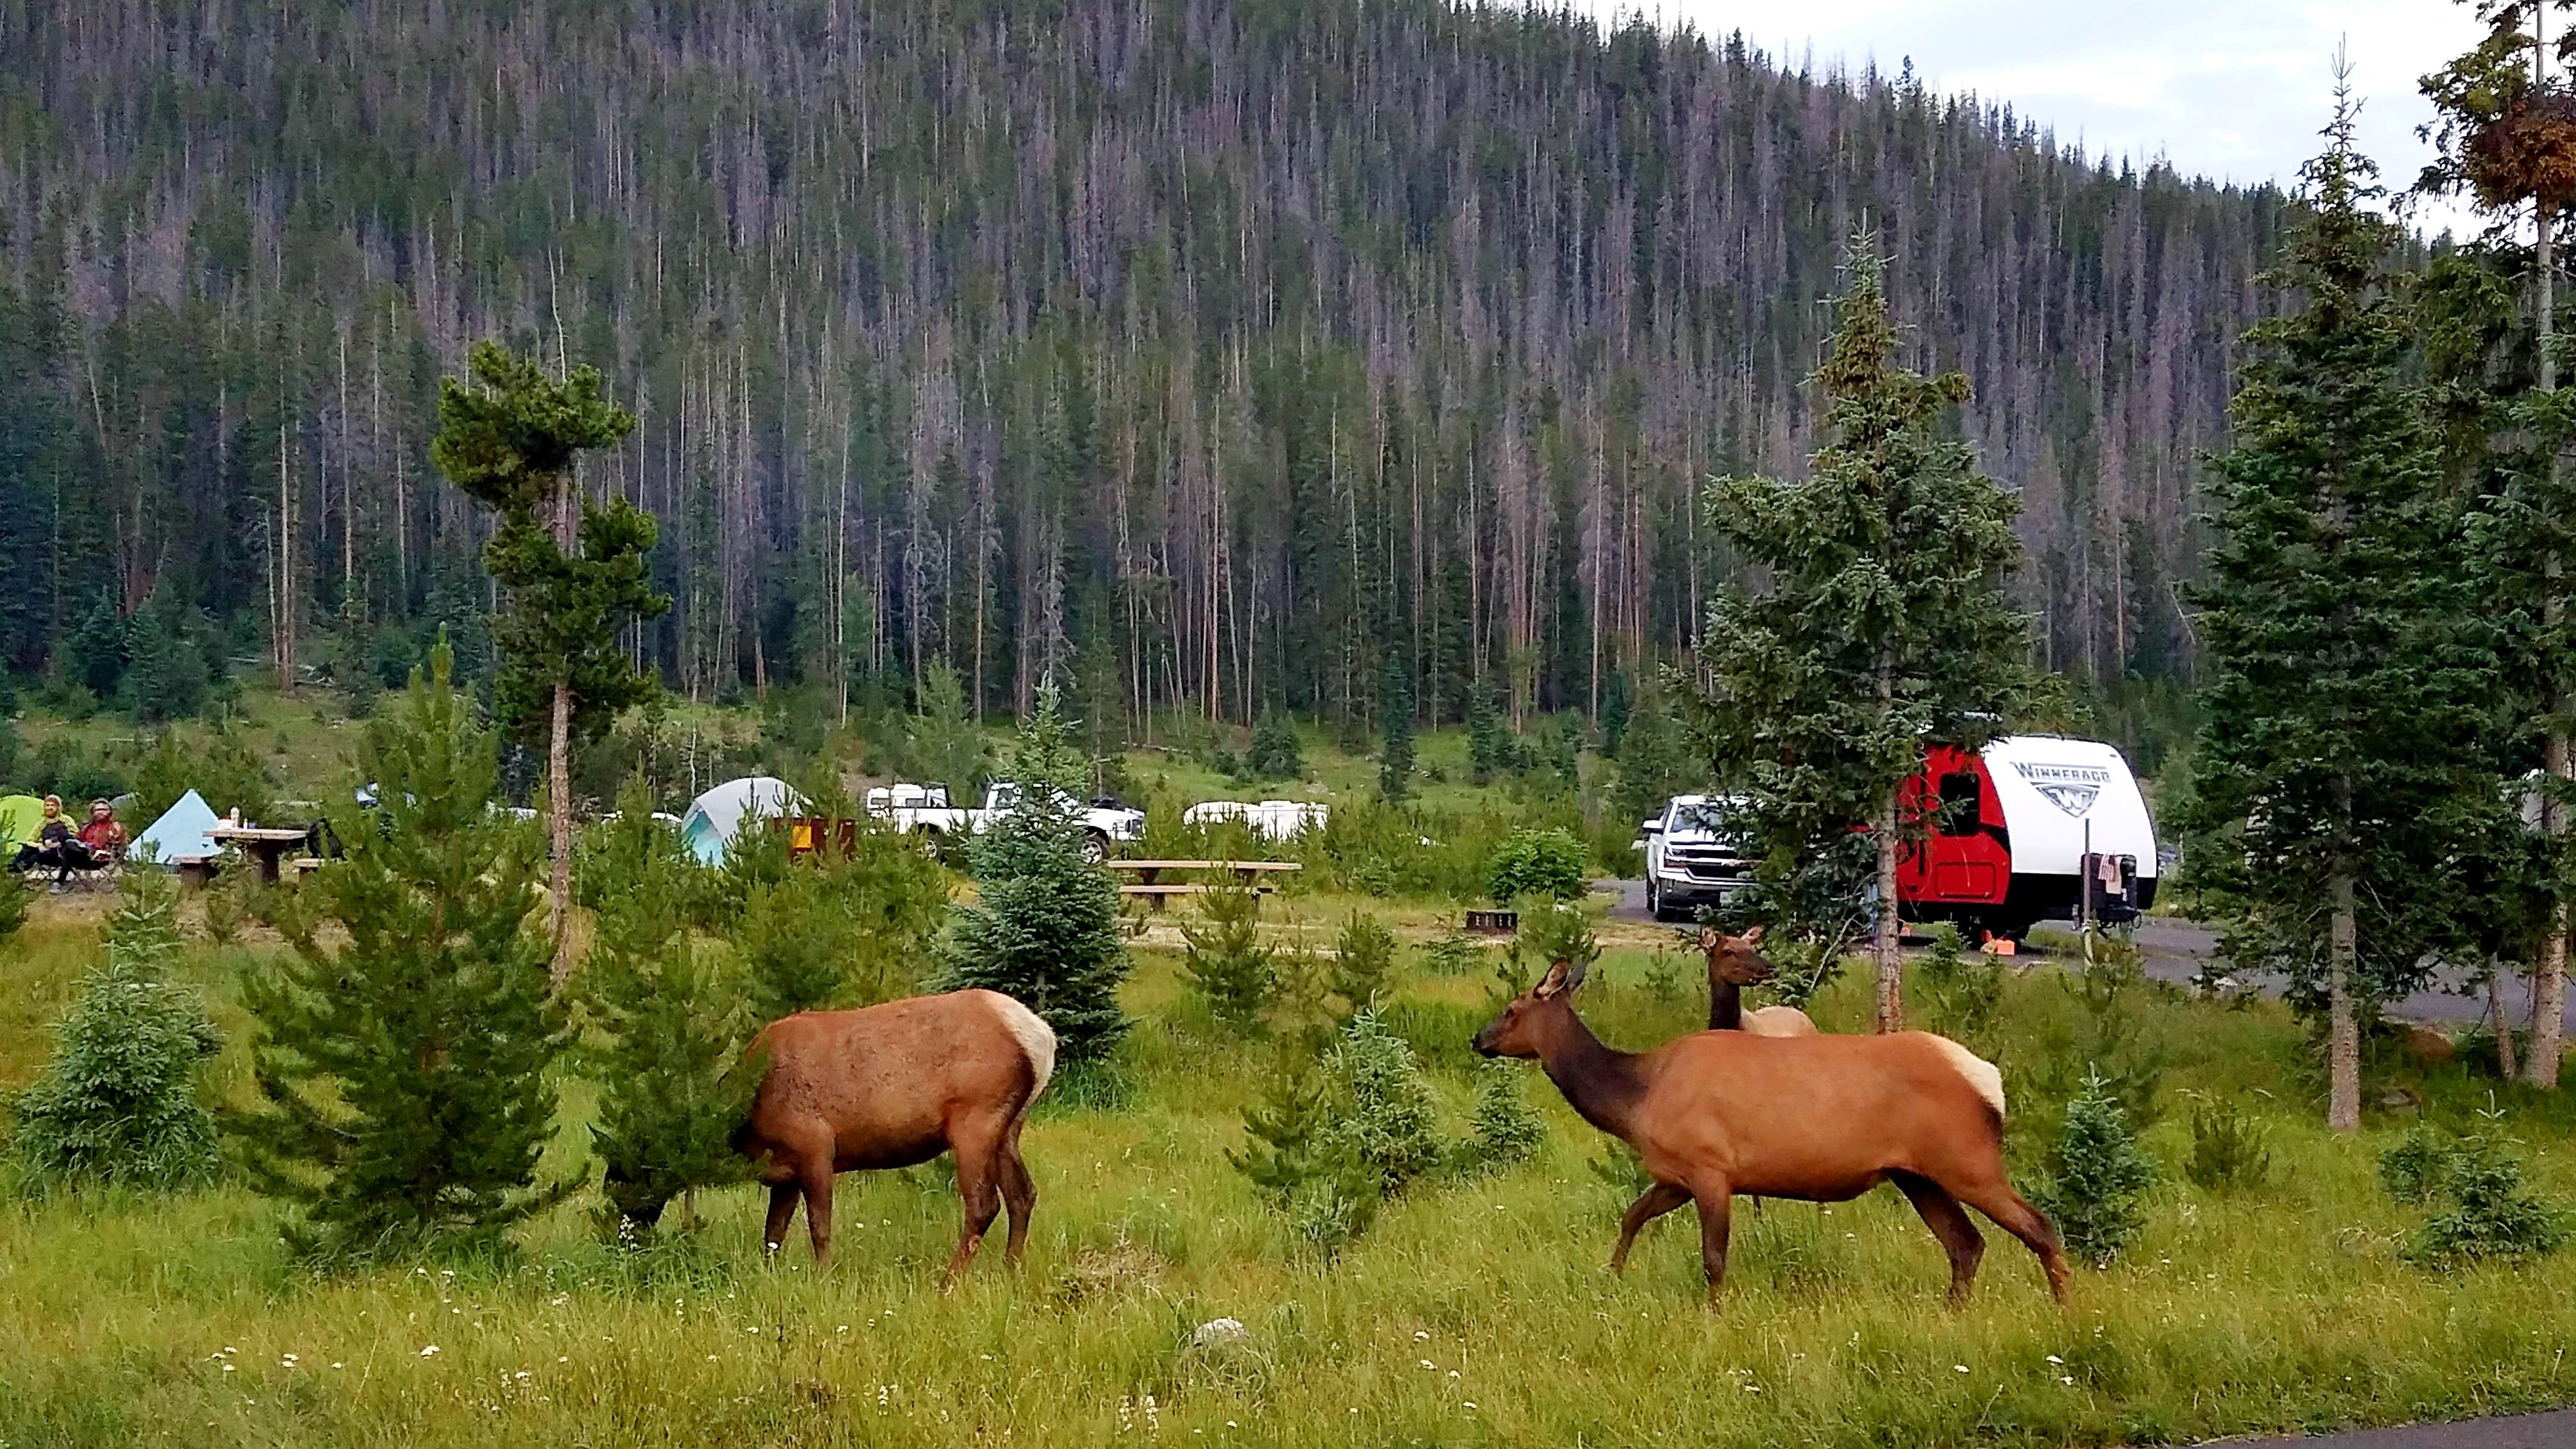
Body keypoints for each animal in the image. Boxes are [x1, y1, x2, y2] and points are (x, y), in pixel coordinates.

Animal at [737, 985, 1056, 1278]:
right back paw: (1010, 1269)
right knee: (1023, 1194)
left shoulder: (815, 1145)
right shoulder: (785, 1172)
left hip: (976, 1119)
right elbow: (773, 1233)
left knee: (984, 1205)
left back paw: (948, 1280)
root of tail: (1044, 1038)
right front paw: (770, 1274)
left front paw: (824, 1276)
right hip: (1009, 1127)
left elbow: (819, 1225)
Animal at [1483, 954, 2060, 1305]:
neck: (1635, 1099)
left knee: (2038, 1226)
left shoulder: (1711, 1168)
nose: (1478, 1040)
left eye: (1511, 1010)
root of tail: (1991, 1082)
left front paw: (1714, 1315)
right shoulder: (1676, 1176)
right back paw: (1952, 1311)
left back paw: (2063, 1309)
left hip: (1968, 1160)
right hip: (1917, 1175)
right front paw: (1612, 1276)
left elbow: (1714, 1259)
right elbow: (1632, 1217)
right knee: (1966, 1244)